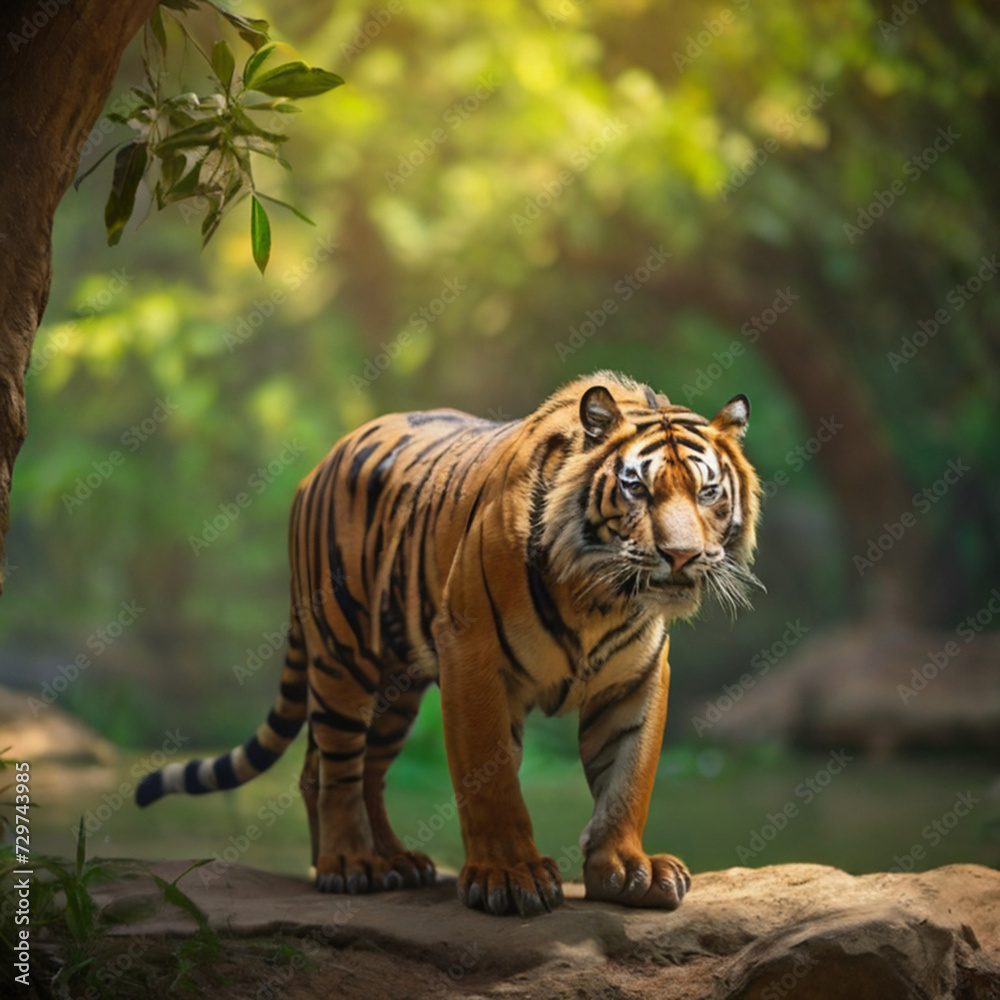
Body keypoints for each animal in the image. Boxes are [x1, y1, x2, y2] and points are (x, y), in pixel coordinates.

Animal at [136, 371, 761, 917]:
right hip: (344, 654)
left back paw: (392, 861)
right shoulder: (473, 654)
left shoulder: (637, 675)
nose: (681, 556)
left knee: (359, 769)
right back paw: (350, 863)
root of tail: (320, 463)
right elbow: (491, 777)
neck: (599, 597)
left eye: (708, 492)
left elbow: (628, 776)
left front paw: (628, 869)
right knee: (334, 767)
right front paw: (510, 876)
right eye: (636, 488)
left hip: (397, 688)